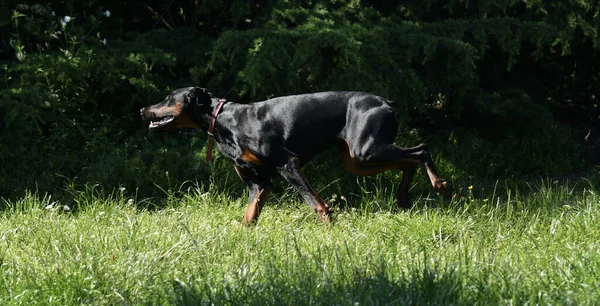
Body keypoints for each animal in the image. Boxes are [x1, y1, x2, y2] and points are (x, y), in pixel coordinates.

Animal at [141, 86, 450, 225]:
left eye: (169, 97)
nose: (143, 110)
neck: (226, 121)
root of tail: (386, 102)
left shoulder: (288, 164)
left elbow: (317, 204)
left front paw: (330, 228)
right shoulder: (259, 184)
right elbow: (249, 217)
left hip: (367, 150)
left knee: (421, 149)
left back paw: (440, 185)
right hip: (357, 160)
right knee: (408, 160)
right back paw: (404, 197)